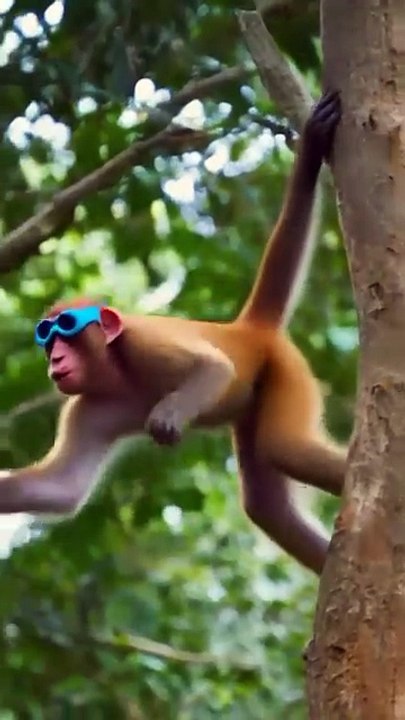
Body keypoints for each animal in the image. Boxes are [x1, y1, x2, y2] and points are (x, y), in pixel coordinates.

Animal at [0, 90, 343, 575]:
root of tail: (248, 329)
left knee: (285, 446)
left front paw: (168, 414)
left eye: (67, 331)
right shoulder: (87, 407)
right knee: (266, 505)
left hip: (284, 367)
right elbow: (60, 488)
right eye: (46, 341)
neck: (119, 374)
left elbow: (214, 368)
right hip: (256, 394)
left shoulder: (141, 343)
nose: (57, 359)